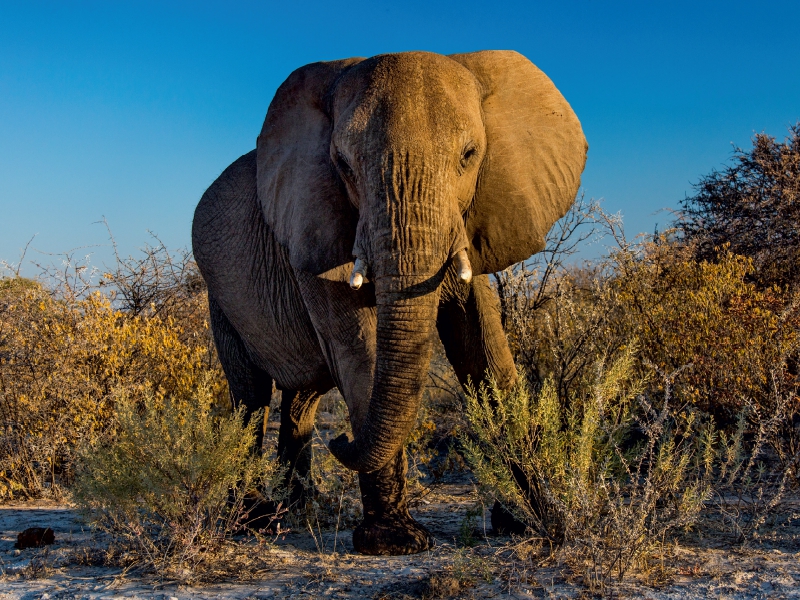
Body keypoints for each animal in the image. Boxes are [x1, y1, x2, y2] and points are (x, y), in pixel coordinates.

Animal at [191, 49, 584, 556]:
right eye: (342, 164)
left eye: (469, 156)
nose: (341, 441)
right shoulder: (314, 229)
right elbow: (362, 348)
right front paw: (395, 542)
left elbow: (483, 347)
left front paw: (533, 519)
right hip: (218, 294)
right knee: (251, 395)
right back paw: (253, 518)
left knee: (301, 397)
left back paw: (295, 511)